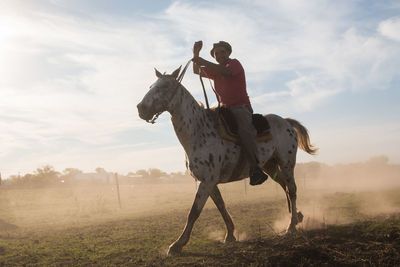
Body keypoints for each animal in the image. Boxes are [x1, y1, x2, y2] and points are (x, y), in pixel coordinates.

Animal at [136, 65, 318, 255]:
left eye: (164, 87)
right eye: (151, 86)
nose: (141, 108)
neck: (199, 132)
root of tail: (287, 122)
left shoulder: (207, 181)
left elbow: (194, 212)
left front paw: (177, 244)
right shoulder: (207, 181)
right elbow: (221, 206)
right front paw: (230, 235)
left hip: (287, 163)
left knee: (292, 189)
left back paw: (291, 227)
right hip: (271, 166)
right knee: (285, 188)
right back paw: (297, 217)